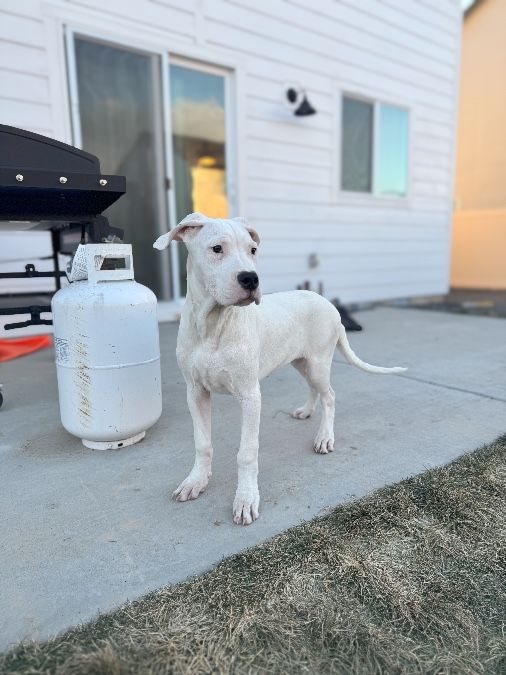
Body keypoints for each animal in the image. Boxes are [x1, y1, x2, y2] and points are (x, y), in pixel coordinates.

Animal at [152, 214, 406, 524]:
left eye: (252, 250)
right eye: (216, 249)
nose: (251, 278)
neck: (213, 325)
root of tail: (329, 304)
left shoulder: (250, 396)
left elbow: (247, 453)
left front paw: (246, 499)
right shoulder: (195, 392)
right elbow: (202, 443)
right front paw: (196, 481)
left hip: (318, 363)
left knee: (330, 395)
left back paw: (325, 437)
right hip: (301, 361)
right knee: (314, 390)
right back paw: (306, 411)